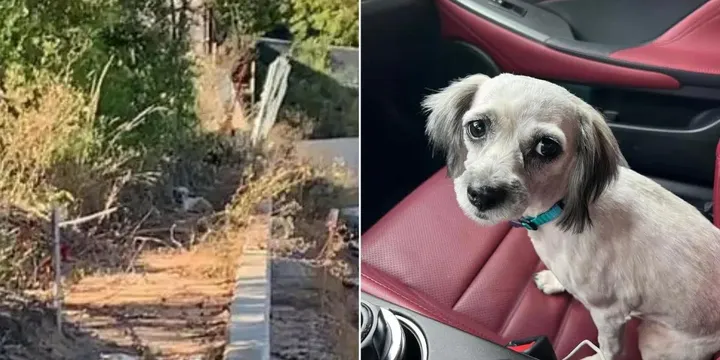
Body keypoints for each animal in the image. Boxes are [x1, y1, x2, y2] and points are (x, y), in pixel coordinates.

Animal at [422, 72, 720, 360]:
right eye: (477, 127)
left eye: (547, 147)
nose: (482, 194)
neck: (559, 206)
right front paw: (555, 282)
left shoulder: (610, 313)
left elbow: (610, 348)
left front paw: (597, 357)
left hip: (654, 341)